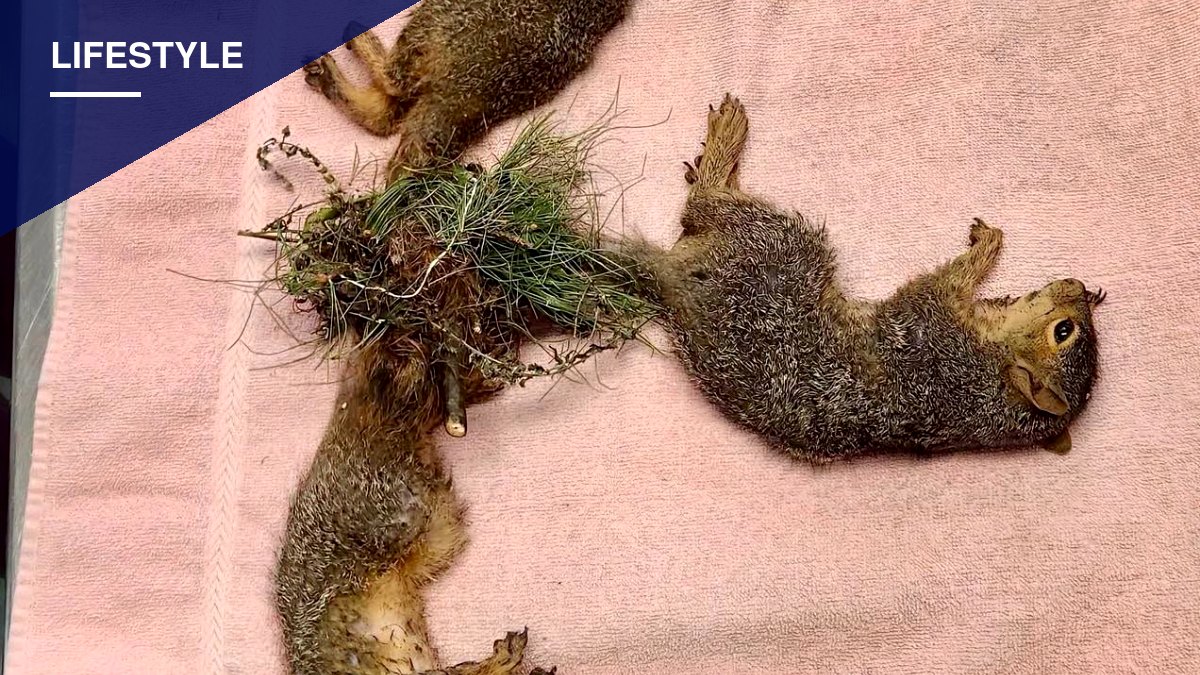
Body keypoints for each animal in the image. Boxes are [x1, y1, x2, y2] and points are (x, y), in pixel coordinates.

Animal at [624, 95, 1105, 462]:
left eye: (1063, 332)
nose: (1079, 286)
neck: (988, 380)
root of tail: (675, 283)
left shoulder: (931, 321)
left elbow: (949, 280)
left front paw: (985, 246)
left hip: (781, 244)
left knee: (700, 207)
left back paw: (724, 138)